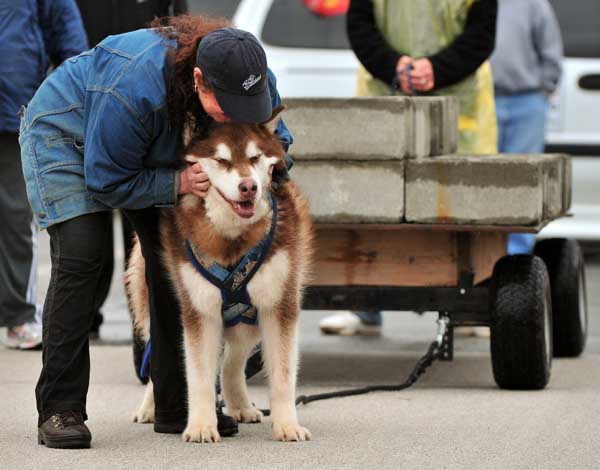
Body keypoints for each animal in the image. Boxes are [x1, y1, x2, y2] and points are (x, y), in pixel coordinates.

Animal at [127, 108, 314, 442]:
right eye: (222, 160)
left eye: (254, 157)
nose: (248, 187)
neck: (232, 238)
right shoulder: (200, 311)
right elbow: (199, 377)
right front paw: (201, 426)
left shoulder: (279, 305)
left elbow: (282, 377)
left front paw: (287, 425)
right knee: (156, 361)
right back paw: (150, 408)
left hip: (249, 319)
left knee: (231, 362)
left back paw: (240, 405)